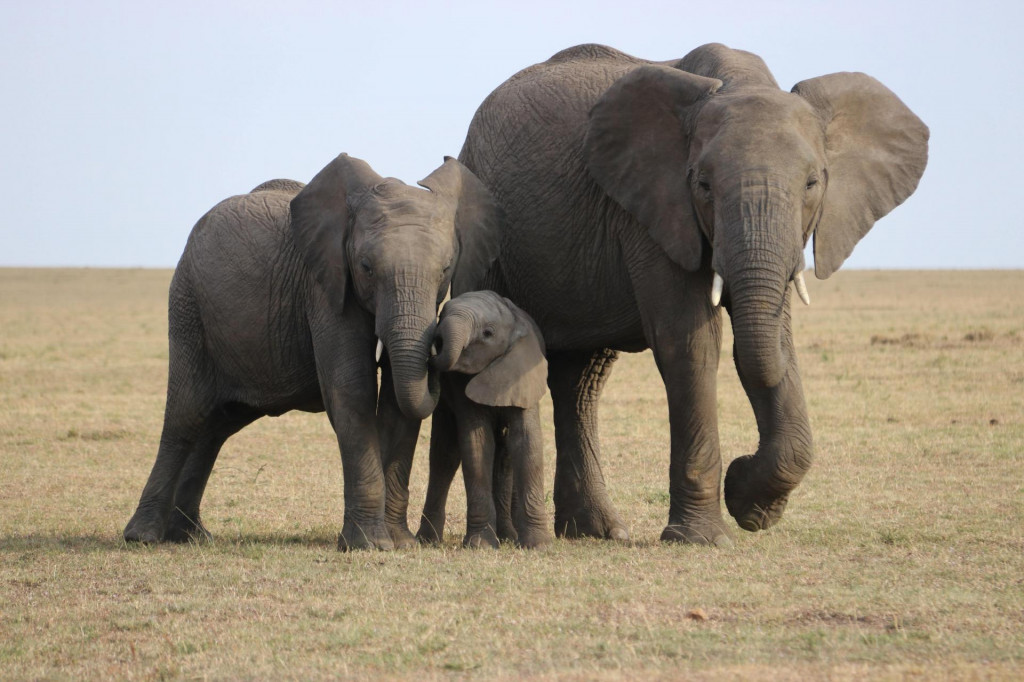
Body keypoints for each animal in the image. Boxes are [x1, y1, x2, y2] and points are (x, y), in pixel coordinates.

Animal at [123, 152, 499, 548]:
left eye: (445, 269)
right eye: (366, 268)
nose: (438, 348)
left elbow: (397, 403)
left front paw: (400, 543)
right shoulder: (324, 287)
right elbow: (352, 390)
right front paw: (370, 544)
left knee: (216, 425)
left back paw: (191, 536)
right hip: (188, 306)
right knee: (186, 415)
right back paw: (143, 536)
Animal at [417, 292, 552, 548]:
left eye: (488, 333)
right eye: (442, 314)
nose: (435, 343)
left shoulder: (523, 374)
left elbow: (527, 442)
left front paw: (537, 545)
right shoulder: (459, 383)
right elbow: (477, 444)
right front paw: (480, 545)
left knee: (504, 456)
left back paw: (508, 536)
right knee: (444, 455)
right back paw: (428, 541)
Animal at [460, 41, 933, 540]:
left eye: (812, 183)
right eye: (703, 185)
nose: (742, 468)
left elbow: (772, 343)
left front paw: (753, 507)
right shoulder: (653, 210)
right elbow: (691, 342)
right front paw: (705, 535)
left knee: (581, 380)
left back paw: (598, 531)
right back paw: (519, 537)